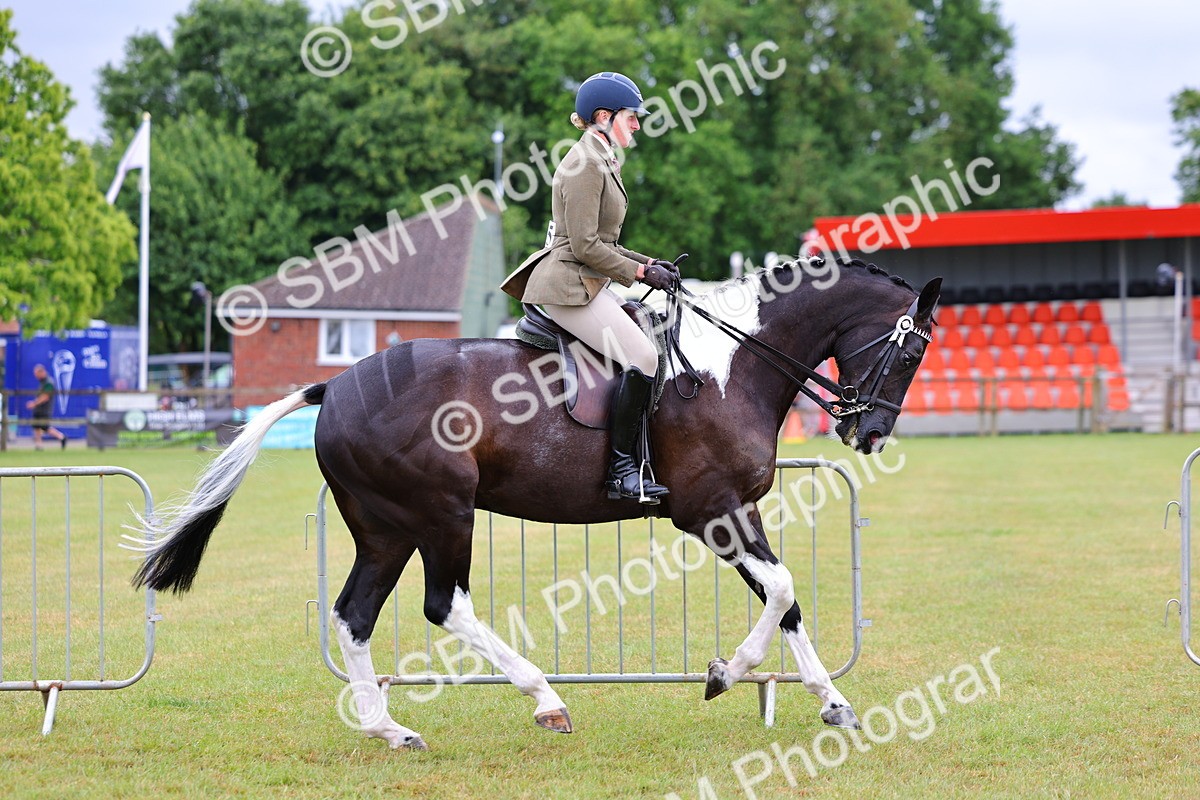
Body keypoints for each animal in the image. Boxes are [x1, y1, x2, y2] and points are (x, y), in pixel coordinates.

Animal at [128, 258, 941, 751]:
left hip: (386, 529)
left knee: (355, 616)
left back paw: (390, 730)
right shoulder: (712, 511)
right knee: (444, 604)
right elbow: (780, 589)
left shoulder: (740, 508)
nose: (869, 432)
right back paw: (544, 695)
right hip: (443, 514)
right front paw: (724, 673)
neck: (731, 364)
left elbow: (787, 597)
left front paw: (831, 702)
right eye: (910, 352)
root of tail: (337, 385)